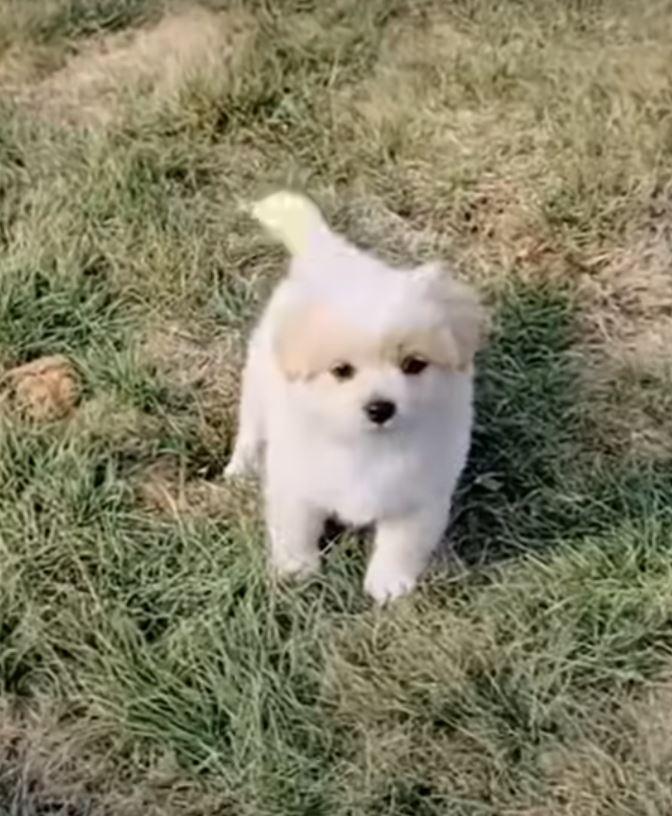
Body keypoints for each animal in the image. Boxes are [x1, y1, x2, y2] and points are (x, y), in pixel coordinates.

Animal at [228, 190, 486, 600]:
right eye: (341, 371)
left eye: (414, 364)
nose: (380, 408)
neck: (365, 446)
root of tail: (330, 256)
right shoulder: (295, 484)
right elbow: (296, 529)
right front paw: (296, 570)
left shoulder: (420, 498)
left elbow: (401, 544)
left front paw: (389, 585)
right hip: (258, 381)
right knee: (250, 427)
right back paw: (241, 467)